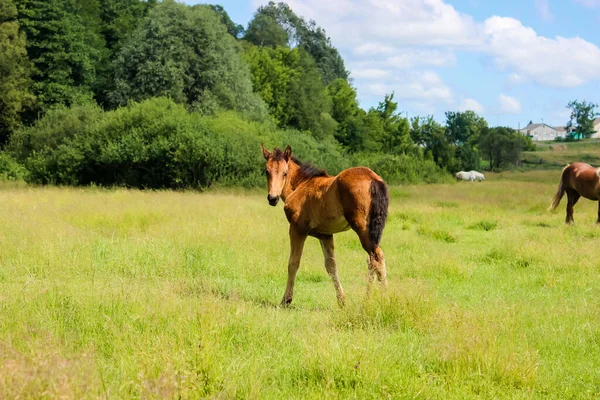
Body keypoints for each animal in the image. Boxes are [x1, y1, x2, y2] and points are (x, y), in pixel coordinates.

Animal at [262, 145, 390, 308]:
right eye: (267, 171)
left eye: (285, 173)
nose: (272, 198)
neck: (301, 185)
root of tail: (373, 179)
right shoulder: (325, 235)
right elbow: (331, 266)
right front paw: (341, 301)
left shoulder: (297, 229)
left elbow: (293, 263)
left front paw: (286, 300)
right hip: (374, 231)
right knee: (372, 260)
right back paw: (367, 300)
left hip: (362, 229)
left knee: (377, 257)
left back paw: (384, 299)